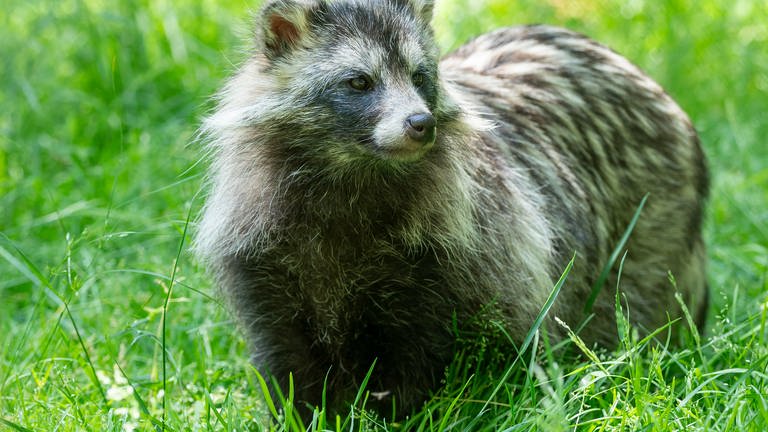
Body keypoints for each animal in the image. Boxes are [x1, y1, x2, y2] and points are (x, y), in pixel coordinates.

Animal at [196, 0, 708, 416]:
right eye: (359, 82)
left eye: (419, 76)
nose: (420, 123)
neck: (354, 174)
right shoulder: (265, 248)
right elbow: (285, 355)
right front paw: (304, 415)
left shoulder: (454, 250)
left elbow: (420, 354)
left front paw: (398, 415)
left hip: (649, 220)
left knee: (633, 303)